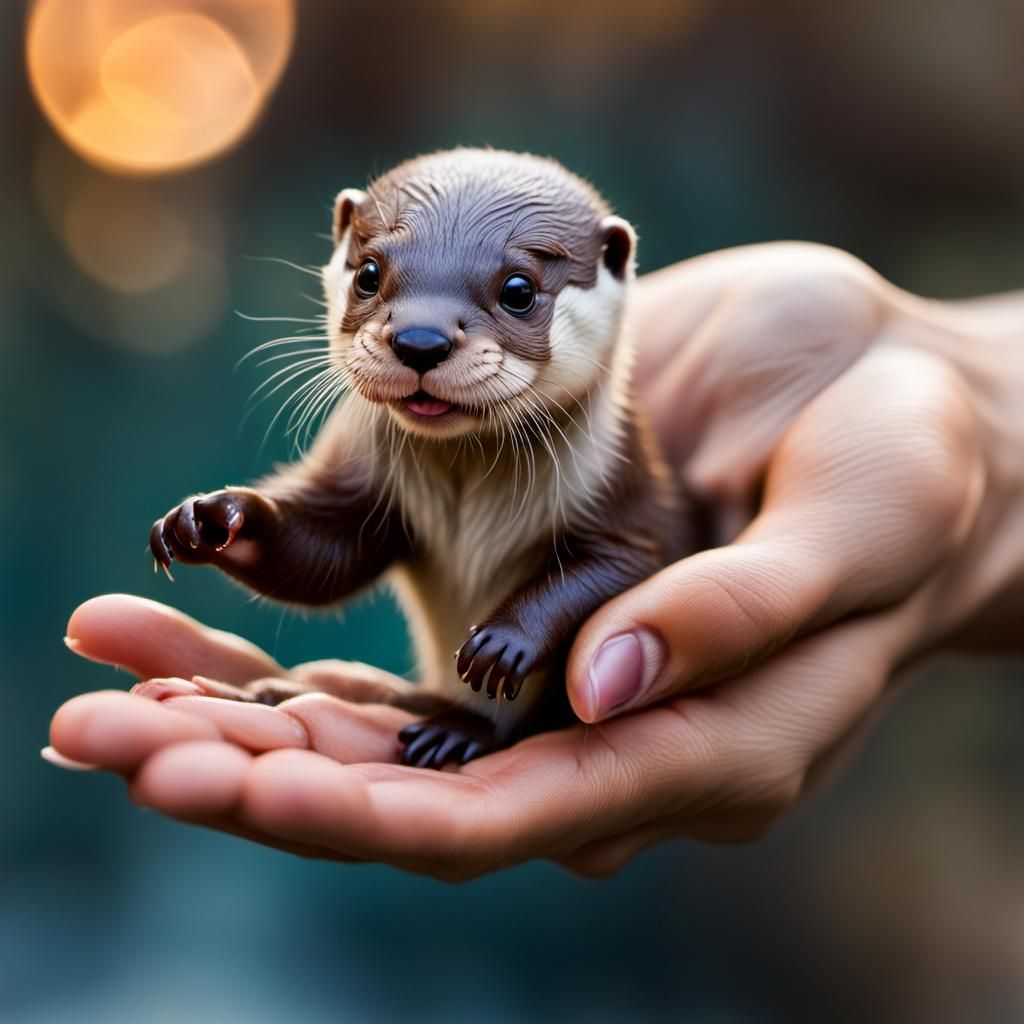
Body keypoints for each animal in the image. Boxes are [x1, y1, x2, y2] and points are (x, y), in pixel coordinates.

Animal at [150, 148, 699, 768]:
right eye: (368, 273)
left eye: (519, 289)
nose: (420, 340)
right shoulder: (367, 489)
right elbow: (323, 556)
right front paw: (212, 519)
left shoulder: (630, 499)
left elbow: (618, 570)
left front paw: (505, 640)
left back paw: (455, 729)